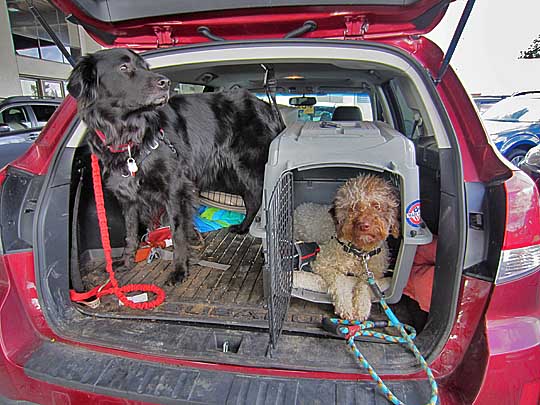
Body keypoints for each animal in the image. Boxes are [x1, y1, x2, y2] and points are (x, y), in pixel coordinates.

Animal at [67, 48, 282, 284]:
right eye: (124, 68)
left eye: (146, 67)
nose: (166, 82)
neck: (128, 135)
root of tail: (268, 106)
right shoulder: (127, 196)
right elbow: (130, 233)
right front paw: (126, 261)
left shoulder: (175, 189)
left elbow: (177, 233)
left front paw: (179, 269)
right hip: (234, 173)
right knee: (252, 201)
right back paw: (243, 228)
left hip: (252, 169)